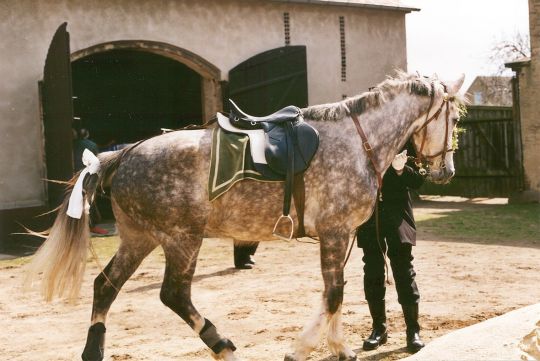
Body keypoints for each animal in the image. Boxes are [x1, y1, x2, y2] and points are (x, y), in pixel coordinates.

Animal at [26, 71, 464, 358]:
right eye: (455, 119)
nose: (445, 172)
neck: (356, 141)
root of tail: (124, 154)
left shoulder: (341, 237)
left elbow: (336, 292)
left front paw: (338, 348)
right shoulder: (335, 232)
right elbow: (334, 293)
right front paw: (304, 348)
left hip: (140, 238)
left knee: (105, 286)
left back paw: (94, 350)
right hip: (182, 240)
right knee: (173, 294)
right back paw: (220, 343)